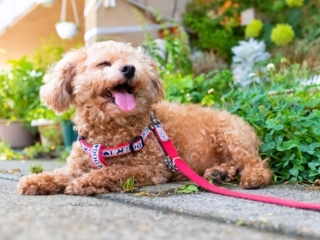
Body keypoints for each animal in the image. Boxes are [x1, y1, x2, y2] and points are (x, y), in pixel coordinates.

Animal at [17, 40, 272, 195]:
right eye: (104, 63)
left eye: (136, 64)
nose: (129, 68)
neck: (109, 130)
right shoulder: (77, 165)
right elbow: (59, 174)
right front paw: (36, 181)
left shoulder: (149, 168)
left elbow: (111, 171)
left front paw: (82, 183)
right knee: (232, 163)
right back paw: (218, 173)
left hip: (231, 136)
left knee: (255, 163)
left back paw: (254, 177)